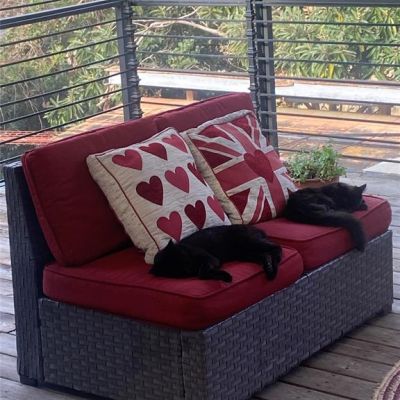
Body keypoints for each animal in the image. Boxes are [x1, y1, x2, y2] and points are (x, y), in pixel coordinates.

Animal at [150, 225, 282, 283]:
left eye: (183, 256)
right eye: (175, 270)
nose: (189, 268)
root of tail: (257, 229)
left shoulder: (210, 259)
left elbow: (201, 273)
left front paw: (226, 276)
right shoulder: (210, 262)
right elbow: (202, 274)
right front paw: (221, 275)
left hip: (251, 242)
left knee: (277, 247)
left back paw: (274, 266)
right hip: (247, 254)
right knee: (265, 254)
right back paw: (268, 267)